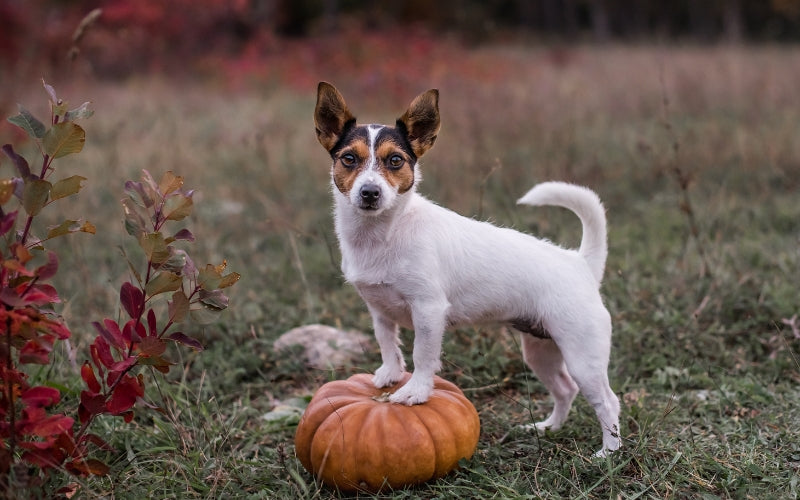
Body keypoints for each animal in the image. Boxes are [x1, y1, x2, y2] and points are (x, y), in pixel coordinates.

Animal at [316, 82, 620, 458]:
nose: (370, 192)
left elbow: (422, 355)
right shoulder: (379, 310)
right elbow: (387, 343)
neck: (384, 233)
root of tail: (581, 263)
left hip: (583, 356)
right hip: (540, 351)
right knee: (565, 389)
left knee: (608, 401)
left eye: (395, 160)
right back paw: (548, 428)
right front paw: (390, 374)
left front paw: (415, 391)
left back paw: (608, 453)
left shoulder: (429, 310)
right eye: (349, 159)